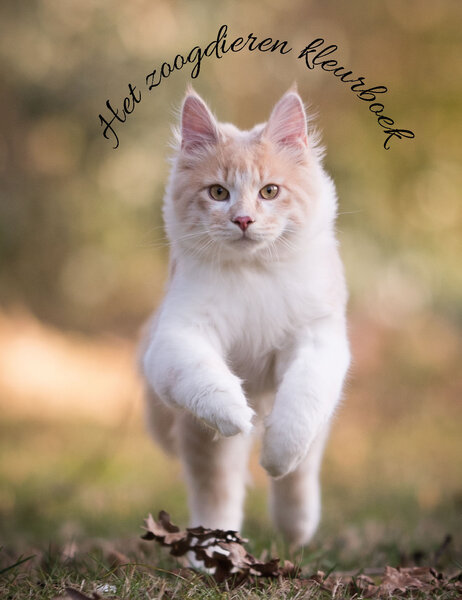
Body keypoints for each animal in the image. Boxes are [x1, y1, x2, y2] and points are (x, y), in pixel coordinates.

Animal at [141, 85, 350, 548]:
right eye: (218, 193)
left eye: (269, 191)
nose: (243, 219)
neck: (254, 274)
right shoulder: (179, 338)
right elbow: (208, 380)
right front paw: (238, 414)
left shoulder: (317, 341)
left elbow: (297, 411)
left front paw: (275, 452)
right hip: (203, 445)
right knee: (216, 496)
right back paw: (212, 550)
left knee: (300, 474)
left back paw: (296, 527)